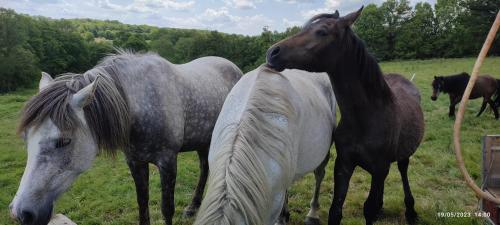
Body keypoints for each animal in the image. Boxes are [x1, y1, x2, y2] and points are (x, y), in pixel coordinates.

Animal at [8, 51, 242, 225]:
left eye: (64, 141)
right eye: (26, 138)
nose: (21, 213)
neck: (142, 103)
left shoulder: (168, 162)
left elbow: (167, 208)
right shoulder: (135, 162)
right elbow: (142, 203)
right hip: (203, 140)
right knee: (204, 167)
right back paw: (193, 207)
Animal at [264, 6, 424, 225]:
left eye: (322, 31)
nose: (272, 52)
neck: (366, 118)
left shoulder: (379, 168)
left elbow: (369, 209)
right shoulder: (344, 164)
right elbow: (336, 210)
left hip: (402, 156)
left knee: (403, 171)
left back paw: (411, 211)